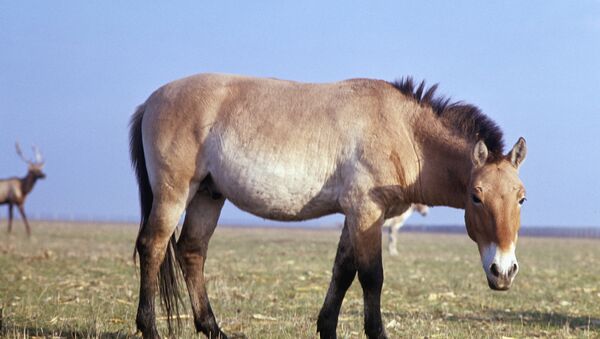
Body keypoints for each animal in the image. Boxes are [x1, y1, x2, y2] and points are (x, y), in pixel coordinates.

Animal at [130, 73, 524, 339]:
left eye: (521, 197)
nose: (503, 271)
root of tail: (151, 100)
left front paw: (327, 327)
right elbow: (371, 277)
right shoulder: (366, 213)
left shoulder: (355, 217)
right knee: (153, 247)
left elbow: (343, 272)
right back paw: (150, 328)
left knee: (192, 251)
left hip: (207, 195)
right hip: (174, 194)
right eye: (476, 196)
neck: (403, 130)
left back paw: (213, 329)